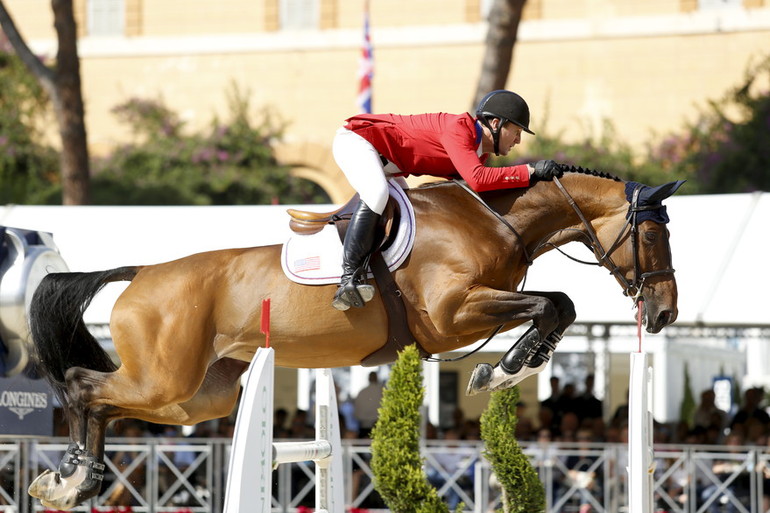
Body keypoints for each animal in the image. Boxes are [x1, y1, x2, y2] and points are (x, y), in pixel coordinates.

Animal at [27, 169, 680, 508]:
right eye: (652, 237)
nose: (665, 312)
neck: (498, 220)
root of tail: (141, 272)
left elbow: (554, 305)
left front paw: (511, 365)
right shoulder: (452, 314)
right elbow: (554, 302)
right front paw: (504, 368)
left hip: (197, 395)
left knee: (106, 401)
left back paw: (70, 481)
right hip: (165, 377)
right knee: (84, 388)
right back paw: (73, 479)